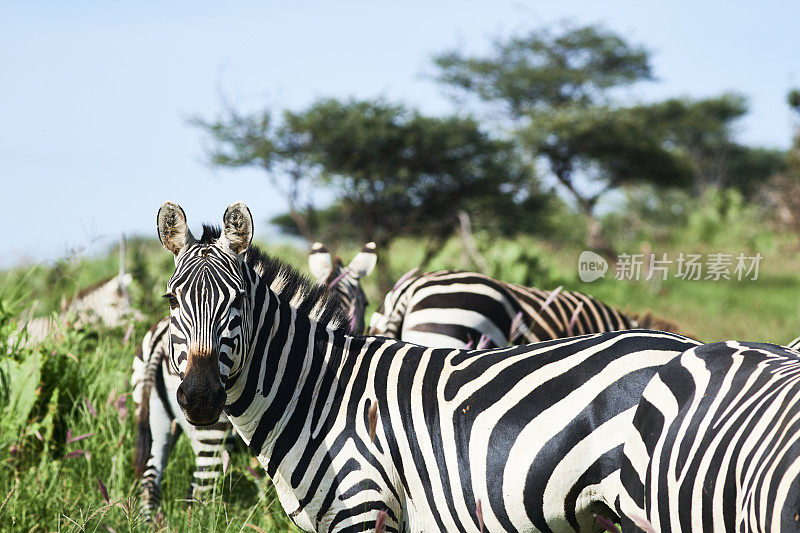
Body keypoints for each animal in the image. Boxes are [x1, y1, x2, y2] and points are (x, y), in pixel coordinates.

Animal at [132, 240, 378, 512]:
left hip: (158, 422)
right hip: (211, 430)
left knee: (150, 483)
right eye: (367, 302)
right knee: (199, 493)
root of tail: (159, 340)